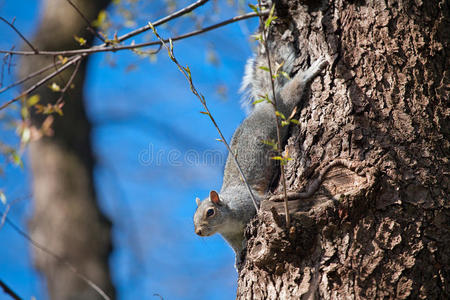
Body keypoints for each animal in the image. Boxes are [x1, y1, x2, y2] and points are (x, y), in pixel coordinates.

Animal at [193, 42, 326, 270]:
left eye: (210, 212)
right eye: (193, 218)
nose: (198, 232)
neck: (228, 220)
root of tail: (264, 103)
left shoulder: (248, 203)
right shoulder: (232, 236)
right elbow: (237, 248)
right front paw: (238, 258)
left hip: (281, 107)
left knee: (291, 91)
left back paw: (308, 72)